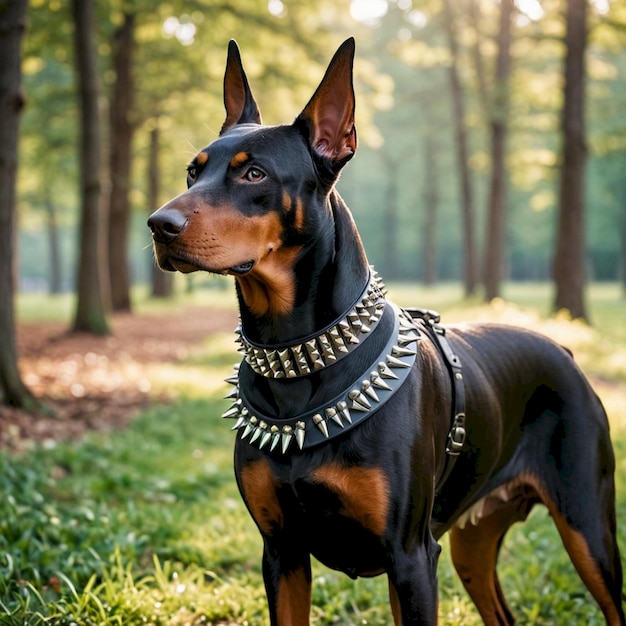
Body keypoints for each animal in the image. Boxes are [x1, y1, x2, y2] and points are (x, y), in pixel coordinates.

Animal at [149, 39, 620, 624]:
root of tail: (563, 348)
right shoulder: (281, 551)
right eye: (193, 173)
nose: (158, 225)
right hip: (472, 540)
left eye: (253, 174)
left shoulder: (410, 556)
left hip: (587, 527)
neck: (295, 355)